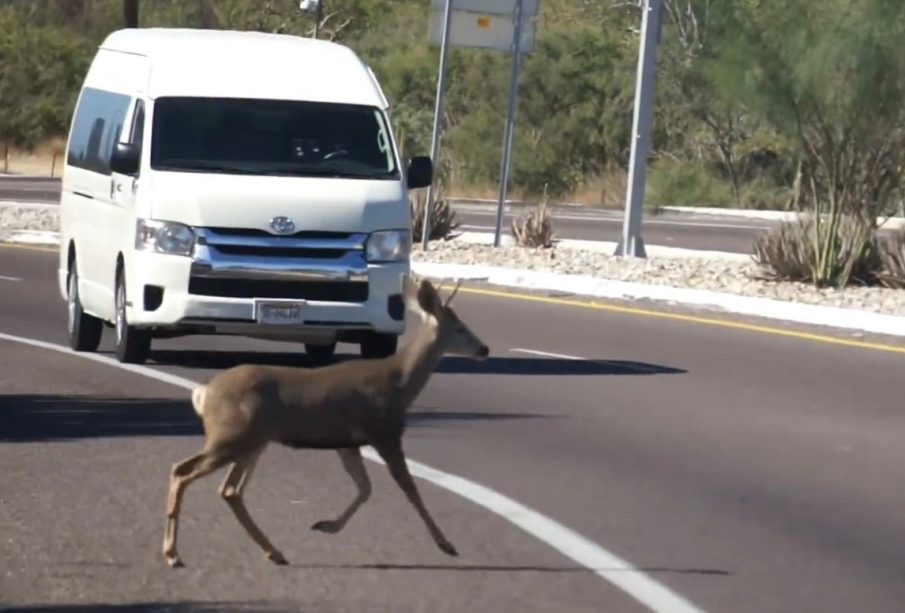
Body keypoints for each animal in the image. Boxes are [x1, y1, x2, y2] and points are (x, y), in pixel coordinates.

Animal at [162, 274, 488, 568]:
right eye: (460, 328)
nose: (483, 349)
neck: (399, 384)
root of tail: (203, 393)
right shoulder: (384, 432)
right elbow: (410, 489)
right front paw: (446, 544)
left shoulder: (348, 442)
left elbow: (365, 488)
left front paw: (326, 525)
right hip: (231, 435)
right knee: (183, 471)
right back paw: (173, 554)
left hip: (252, 441)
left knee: (229, 490)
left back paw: (274, 552)